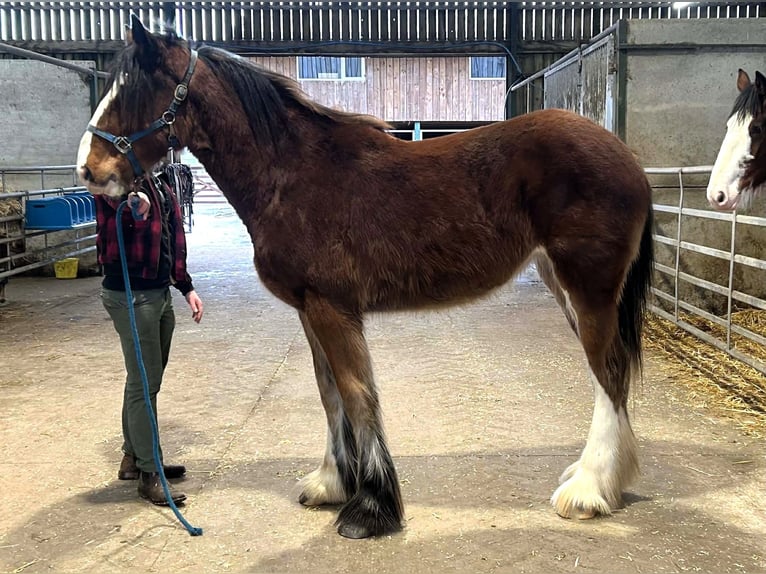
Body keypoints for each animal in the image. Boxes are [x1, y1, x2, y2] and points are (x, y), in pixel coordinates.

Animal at [76, 16, 654, 539]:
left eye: (135, 89)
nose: (89, 170)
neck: (292, 175)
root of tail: (626, 157)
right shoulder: (310, 309)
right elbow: (329, 393)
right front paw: (333, 484)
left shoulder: (333, 308)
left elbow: (356, 394)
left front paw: (371, 508)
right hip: (566, 287)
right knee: (611, 376)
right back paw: (598, 478)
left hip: (589, 289)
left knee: (608, 374)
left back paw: (588, 491)